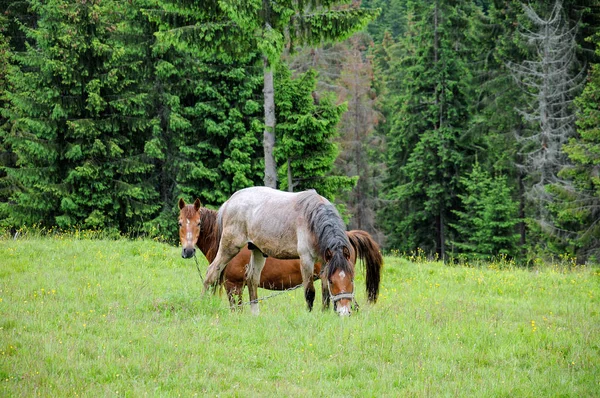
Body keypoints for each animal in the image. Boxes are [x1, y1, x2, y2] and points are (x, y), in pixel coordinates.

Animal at [204, 187, 354, 318]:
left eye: (351, 278)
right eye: (332, 281)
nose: (345, 312)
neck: (312, 219)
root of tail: (229, 202)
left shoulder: (324, 261)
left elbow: (325, 292)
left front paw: (325, 312)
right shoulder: (306, 260)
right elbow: (310, 292)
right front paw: (309, 314)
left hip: (257, 251)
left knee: (252, 279)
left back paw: (255, 314)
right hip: (229, 248)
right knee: (211, 272)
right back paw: (203, 303)